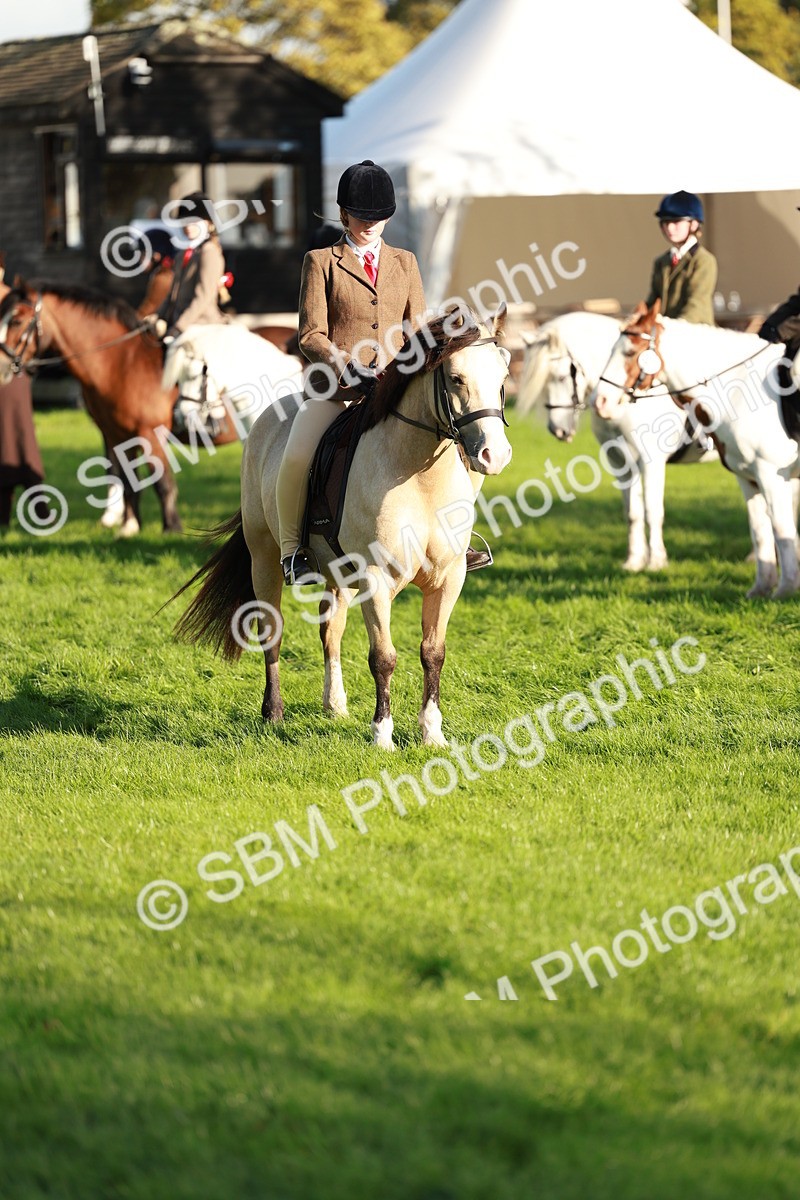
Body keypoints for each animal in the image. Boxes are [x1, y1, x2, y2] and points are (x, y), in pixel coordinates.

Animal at [173, 305, 512, 748]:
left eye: (503, 376)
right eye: (456, 378)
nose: (494, 455)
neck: (418, 476)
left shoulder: (448, 578)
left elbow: (432, 652)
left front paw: (431, 734)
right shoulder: (376, 578)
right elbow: (383, 657)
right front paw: (382, 735)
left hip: (339, 574)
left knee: (330, 629)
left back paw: (334, 705)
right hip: (264, 557)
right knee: (272, 630)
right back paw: (273, 713)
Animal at [516, 312, 718, 571]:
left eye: (561, 377)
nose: (557, 430)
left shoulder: (651, 463)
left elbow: (652, 511)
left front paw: (657, 561)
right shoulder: (620, 462)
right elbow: (632, 513)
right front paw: (634, 561)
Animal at [594, 302, 800, 598]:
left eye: (629, 352)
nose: (601, 401)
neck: (738, 391)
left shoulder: (771, 474)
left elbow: (782, 530)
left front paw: (785, 590)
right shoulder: (748, 477)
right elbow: (760, 531)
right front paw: (761, 588)